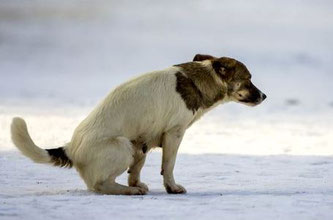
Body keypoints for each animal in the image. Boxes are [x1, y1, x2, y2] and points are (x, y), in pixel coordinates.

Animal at [10, 54, 266, 195]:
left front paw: (142, 182)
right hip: (122, 145)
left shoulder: (148, 140)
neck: (196, 79)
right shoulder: (174, 134)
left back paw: (134, 186)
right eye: (248, 79)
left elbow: (138, 170)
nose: (264, 96)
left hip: (134, 146)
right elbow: (169, 166)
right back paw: (129, 191)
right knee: (99, 185)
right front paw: (172, 188)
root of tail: (70, 148)